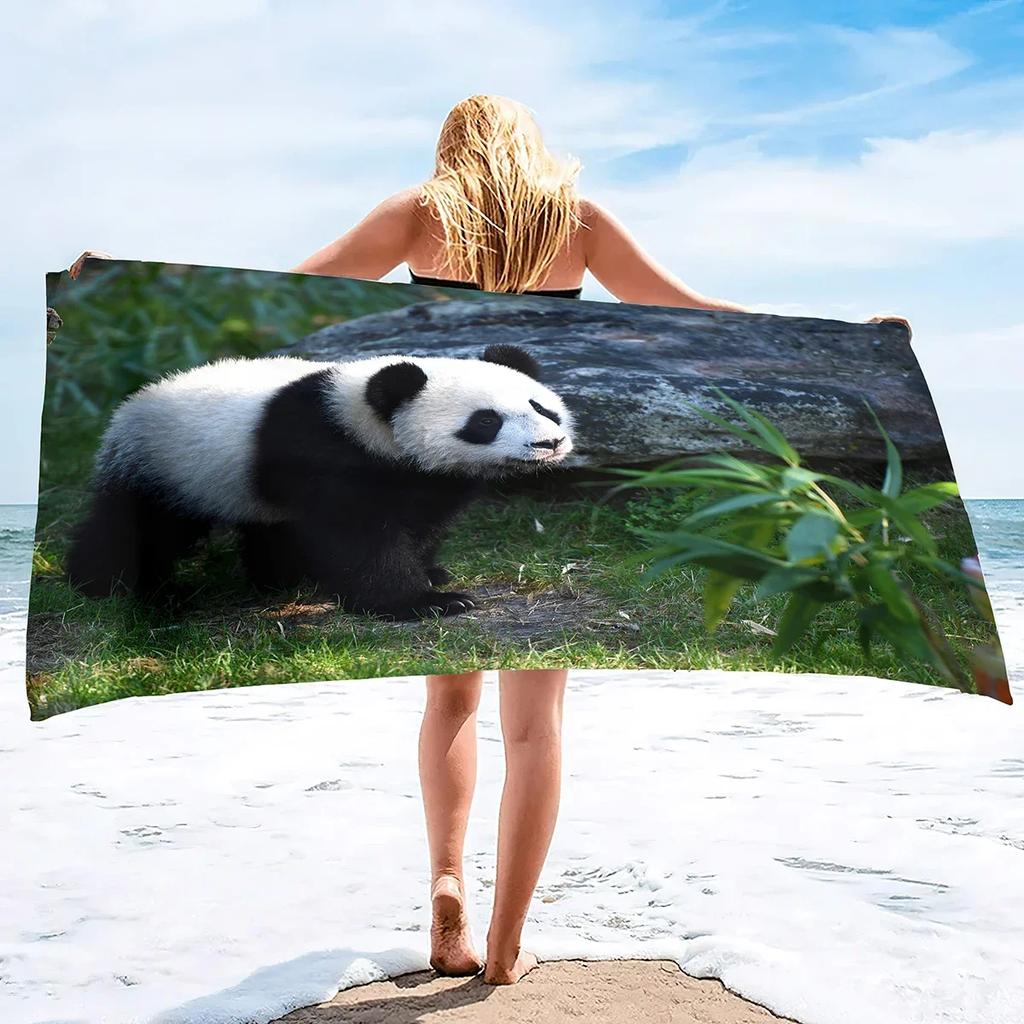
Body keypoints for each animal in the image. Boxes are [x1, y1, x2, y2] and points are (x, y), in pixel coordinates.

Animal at [67, 344, 573, 619]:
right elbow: (361, 538)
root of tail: (130, 405)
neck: (364, 420)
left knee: (268, 528)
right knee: (142, 527)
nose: (549, 443)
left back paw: (278, 580)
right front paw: (425, 602)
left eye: (541, 407)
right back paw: (112, 586)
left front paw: (431, 572)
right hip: (167, 464)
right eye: (486, 421)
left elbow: (422, 518)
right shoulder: (324, 451)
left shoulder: (420, 476)